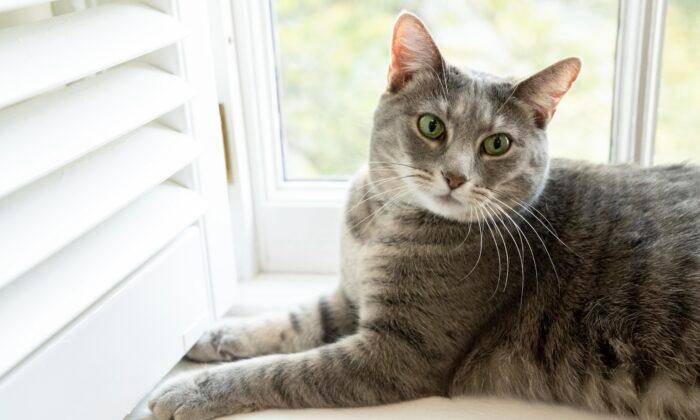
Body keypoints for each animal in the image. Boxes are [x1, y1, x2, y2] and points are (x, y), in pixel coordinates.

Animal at [150, 11, 696, 418]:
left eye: (497, 144)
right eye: (432, 126)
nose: (455, 176)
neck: (380, 222)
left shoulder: (397, 353)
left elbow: (284, 370)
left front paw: (193, 389)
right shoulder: (351, 297)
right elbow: (293, 320)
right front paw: (220, 334)